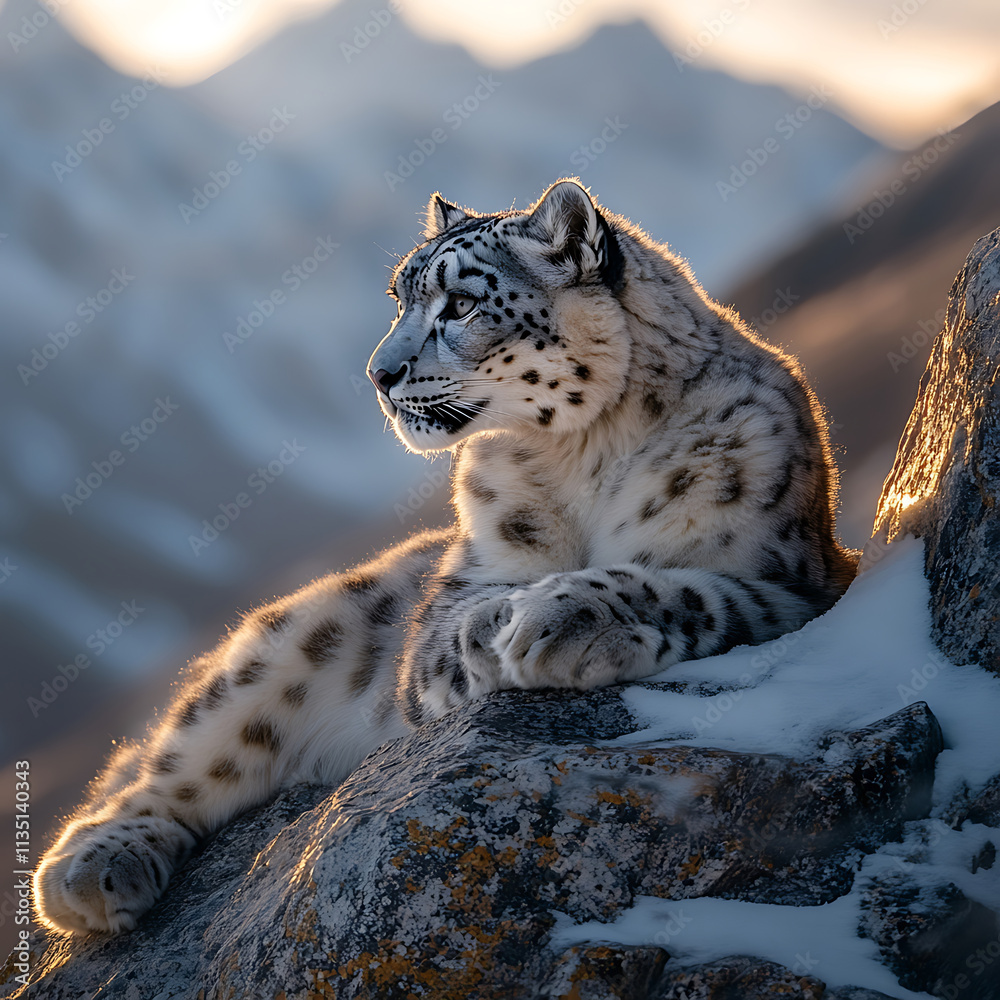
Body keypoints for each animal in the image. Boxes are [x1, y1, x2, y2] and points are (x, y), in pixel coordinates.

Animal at [34, 178, 858, 934]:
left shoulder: (794, 583)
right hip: (298, 635)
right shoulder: (467, 577)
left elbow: (684, 589)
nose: (378, 374)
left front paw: (559, 619)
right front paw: (504, 625)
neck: (585, 453)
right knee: (184, 755)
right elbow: (450, 629)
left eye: (459, 304)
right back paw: (93, 870)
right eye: (397, 299)